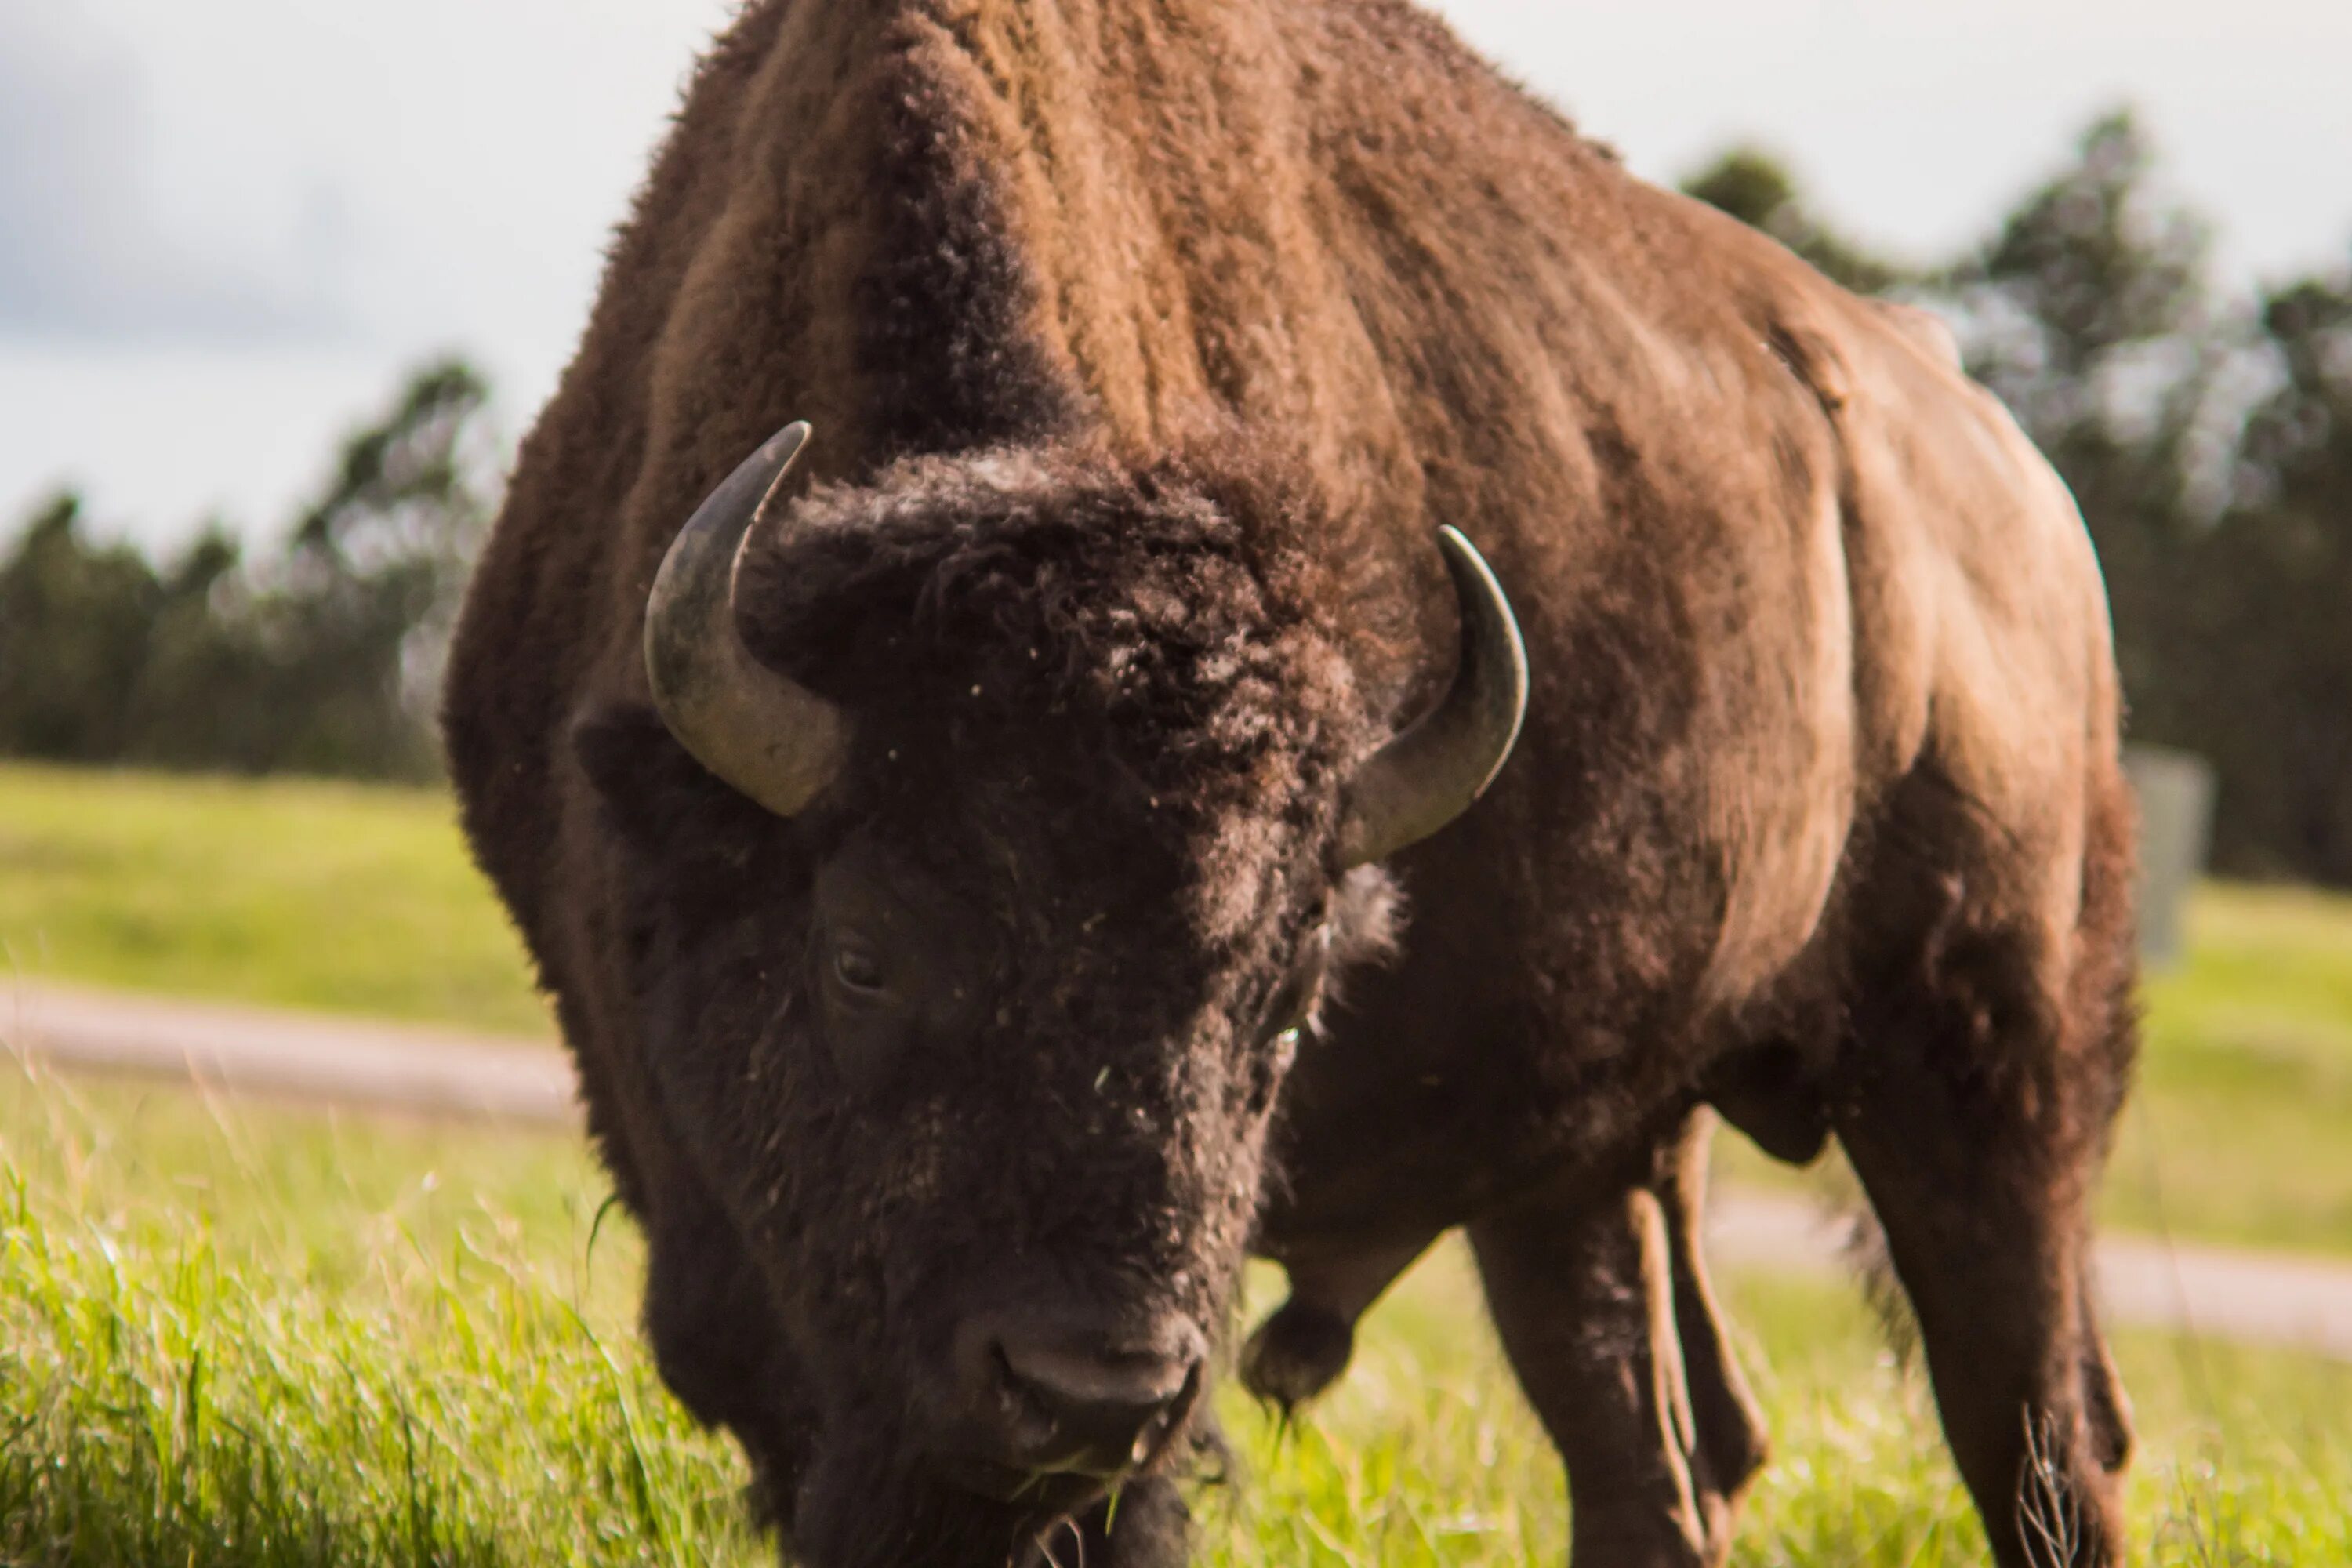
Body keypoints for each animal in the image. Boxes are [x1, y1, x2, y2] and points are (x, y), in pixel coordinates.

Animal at [445, 2, 2154, 1568]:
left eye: (1287, 1005)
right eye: (862, 954)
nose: (1087, 1388)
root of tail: (1999, 464)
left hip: (1996, 1063)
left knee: (2037, 1431)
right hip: (1600, 1162)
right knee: (1662, 1446)